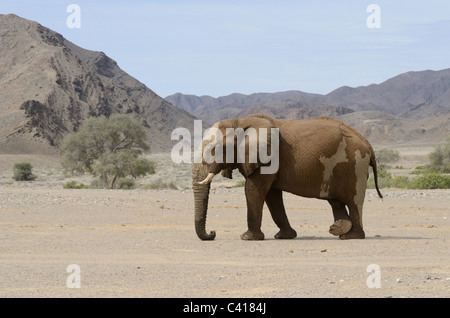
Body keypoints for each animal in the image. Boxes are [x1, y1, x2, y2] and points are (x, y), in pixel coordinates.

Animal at [192, 114, 382, 241]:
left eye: (214, 149)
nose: (212, 233)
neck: (240, 121)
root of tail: (367, 143)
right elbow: (272, 195)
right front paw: (284, 236)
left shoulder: (269, 157)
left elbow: (253, 189)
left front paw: (247, 237)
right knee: (335, 201)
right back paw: (338, 230)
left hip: (355, 165)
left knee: (353, 201)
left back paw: (351, 236)